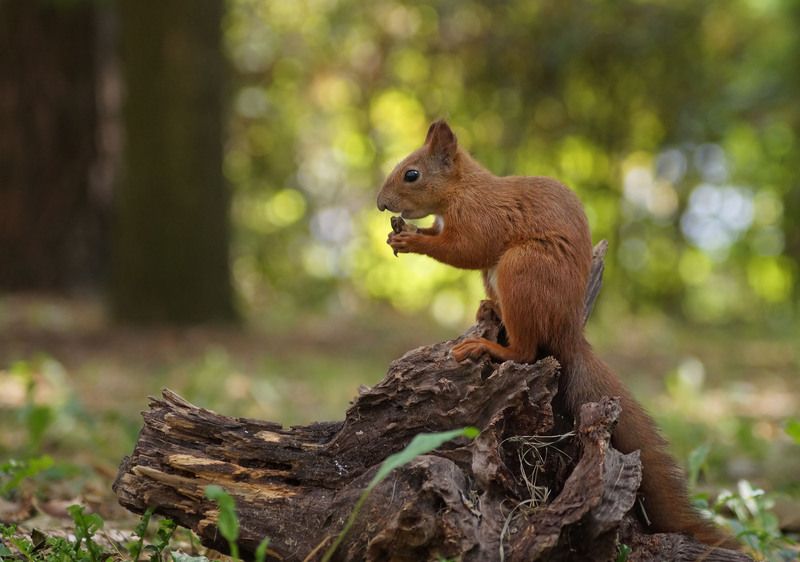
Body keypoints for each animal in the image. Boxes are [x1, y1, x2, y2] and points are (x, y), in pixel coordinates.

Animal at [376, 119, 734, 548]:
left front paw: (411, 239)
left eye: (412, 174)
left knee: (526, 351)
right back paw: (489, 309)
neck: (462, 189)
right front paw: (405, 233)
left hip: (521, 269)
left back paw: (487, 345)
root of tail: (568, 330)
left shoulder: (480, 219)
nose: (380, 203)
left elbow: (465, 249)